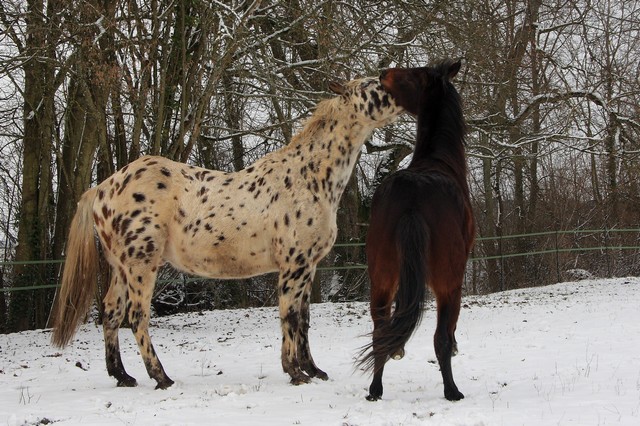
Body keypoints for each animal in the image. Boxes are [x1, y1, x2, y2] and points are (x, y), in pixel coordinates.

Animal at [53, 74, 404, 390]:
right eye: (373, 85)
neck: (309, 178)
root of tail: (103, 188)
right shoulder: (294, 265)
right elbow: (289, 316)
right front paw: (295, 372)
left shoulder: (309, 266)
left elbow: (303, 319)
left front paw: (313, 370)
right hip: (141, 265)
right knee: (137, 316)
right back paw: (161, 378)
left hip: (121, 267)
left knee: (111, 312)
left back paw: (122, 376)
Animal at [360, 60, 476, 402]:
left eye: (412, 73)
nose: (383, 72)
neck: (438, 160)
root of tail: (412, 197)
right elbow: (448, 331)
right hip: (449, 283)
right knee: (440, 336)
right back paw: (452, 391)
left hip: (381, 279)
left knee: (380, 331)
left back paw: (375, 389)